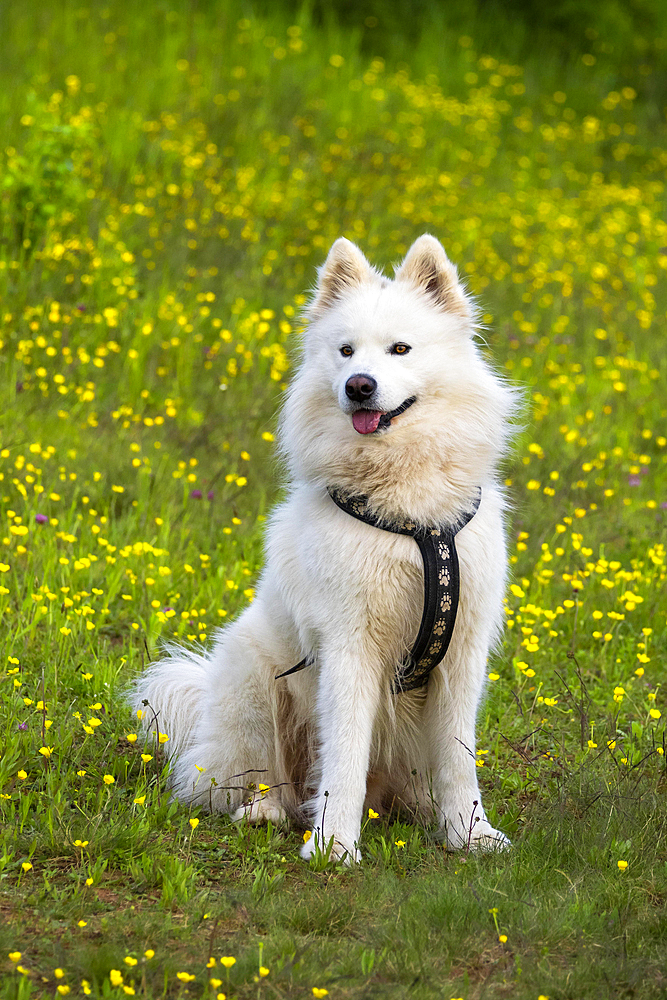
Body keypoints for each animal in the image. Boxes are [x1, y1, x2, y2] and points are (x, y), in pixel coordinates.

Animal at [134, 234, 516, 860]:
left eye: (400, 349)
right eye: (345, 351)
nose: (358, 385)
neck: (409, 518)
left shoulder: (462, 652)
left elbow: (460, 759)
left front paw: (470, 834)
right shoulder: (348, 646)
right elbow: (343, 758)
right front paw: (333, 844)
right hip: (256, 683)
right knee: (263, 779)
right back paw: (264, 812)